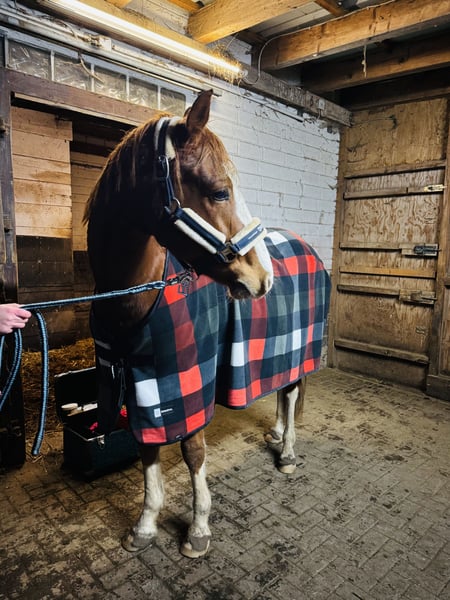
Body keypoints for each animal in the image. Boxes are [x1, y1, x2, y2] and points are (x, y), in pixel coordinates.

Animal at [84, 89, 330, 559]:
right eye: (219, 191)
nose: (263, 278)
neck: (137, 296)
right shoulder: (142, 384)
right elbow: (148, 451)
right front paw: (145, 525)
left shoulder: (188, 382)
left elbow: (193, 451)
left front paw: (198, 528)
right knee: (280, 393)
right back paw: (275, 434)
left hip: (299, 351)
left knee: (291, 393)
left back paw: (287, 453)